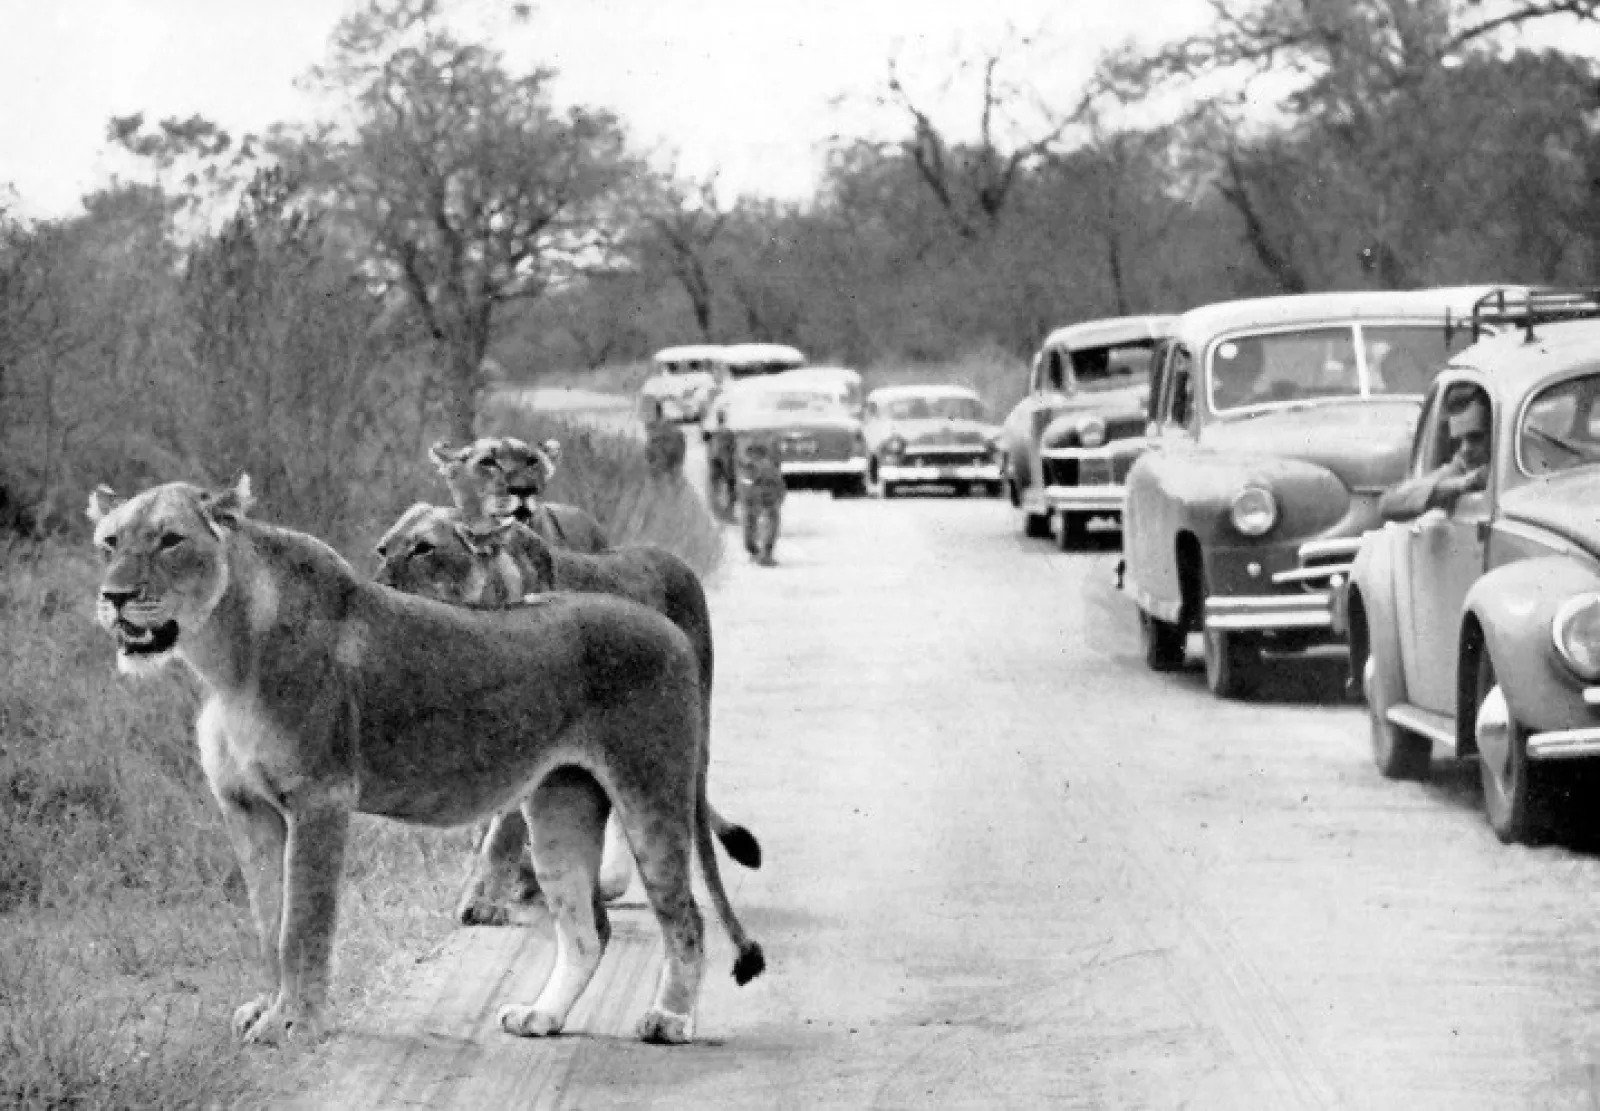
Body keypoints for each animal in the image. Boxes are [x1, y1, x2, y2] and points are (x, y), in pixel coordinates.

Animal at [372, 504, 761, 925]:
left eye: (424, 549)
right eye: (383, 549)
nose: (379, 588)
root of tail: (676, 562)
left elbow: (502, 835)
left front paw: (485, 902)